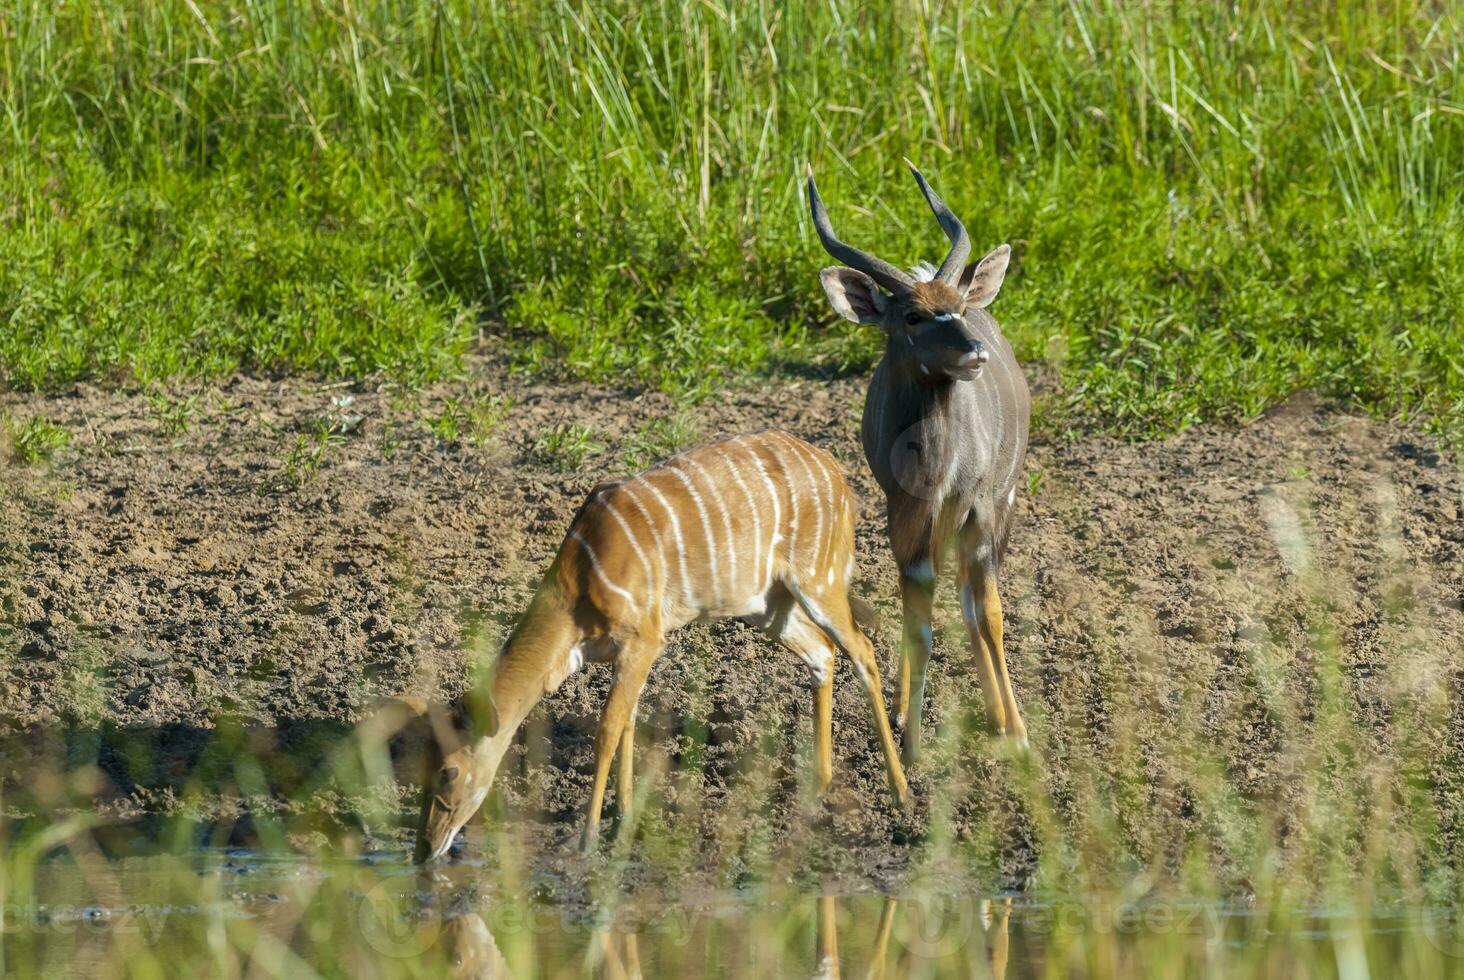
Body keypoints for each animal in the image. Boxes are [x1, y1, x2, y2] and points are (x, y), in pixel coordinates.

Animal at [409, 430, 901, 861]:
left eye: (449, 770)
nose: (423, 849)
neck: (579, 584)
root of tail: (836, 473)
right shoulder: (625, 652)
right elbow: (627, 721)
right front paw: (623, 817)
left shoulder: (644, 638)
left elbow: (608, 729)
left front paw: (588, 837)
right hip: (768, 604)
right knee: (823, 653)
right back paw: (819, 789)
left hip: (818, 579)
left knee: (862, 650)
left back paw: (901, 793)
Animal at [813, 162, 1030, 755]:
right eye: (912, 316)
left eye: (956, 305)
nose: (974, 352)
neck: (937, 468)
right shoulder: (906, 512)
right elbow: (918, 622)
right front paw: (908, 736)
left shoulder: (980, 506)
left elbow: (991, 614)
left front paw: (1018, 732)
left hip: (999, 504)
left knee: (975, 603)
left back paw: (1002, 717)